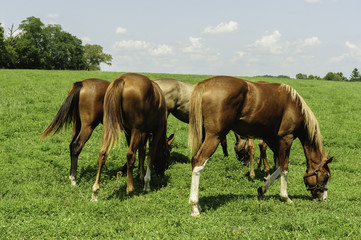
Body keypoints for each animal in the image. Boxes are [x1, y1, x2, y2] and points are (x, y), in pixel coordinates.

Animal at [90, 72, 171, 200]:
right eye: (166, 155)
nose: (162, 173)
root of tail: (122, 79)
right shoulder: (155, 131)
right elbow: (150, 155)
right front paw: (146, 183)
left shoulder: (136, 132)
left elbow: (142, 152)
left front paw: (140, 177)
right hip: (136, 130)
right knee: (130, 155)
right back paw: (131, 191)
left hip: (109, 127)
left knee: (103, 153)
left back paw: (95, 191)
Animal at [188, 76, 332, 218]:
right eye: (326, 176)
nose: (323, 198)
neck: (295, 105)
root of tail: (206, 83)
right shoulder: (286, 139)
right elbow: (285, 168)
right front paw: (285, 197)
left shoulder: (272, 139)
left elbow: (279, 166)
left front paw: (263, 188)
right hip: (215, 136)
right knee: (198, 162)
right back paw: (194, 206)